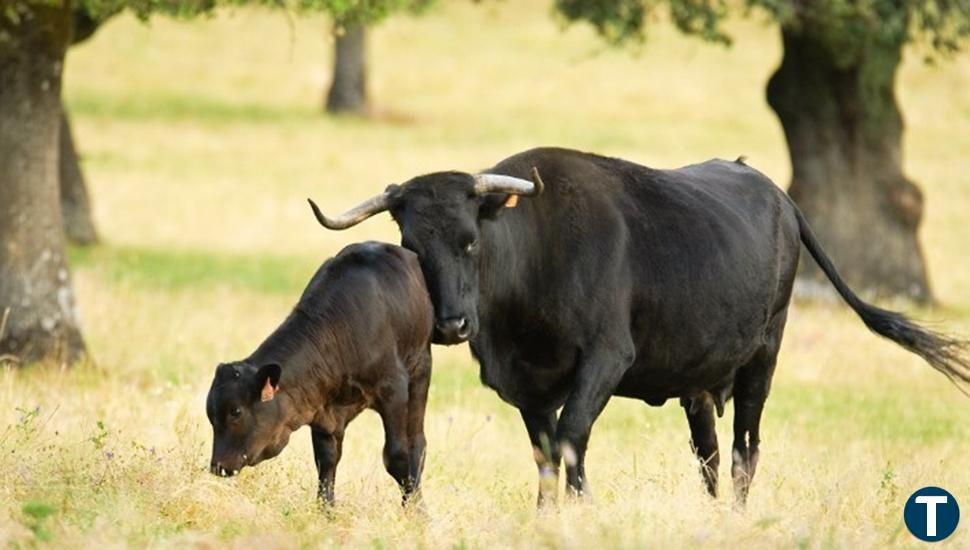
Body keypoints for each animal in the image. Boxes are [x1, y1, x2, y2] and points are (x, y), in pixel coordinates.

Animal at [205, 244, 432, 506]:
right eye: (211, 416)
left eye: (236, 412)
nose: (217, 466)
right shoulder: (322, 409)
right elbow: (326, 460)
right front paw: (326, 508)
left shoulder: (393, 389)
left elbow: (397, 456)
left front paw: (416, 510)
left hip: (420, 370)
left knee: (417, 443)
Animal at [306, 149, 964, 506]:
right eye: (412, 246)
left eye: (470, 240)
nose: (451, 324)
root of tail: (776, 193)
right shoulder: (526, 386)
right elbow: (546, 452)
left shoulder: (605, 359)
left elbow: (571, 438)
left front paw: (583, 510)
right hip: (700, 380)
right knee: (708, 452)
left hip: (763, 358)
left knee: (745, 449)